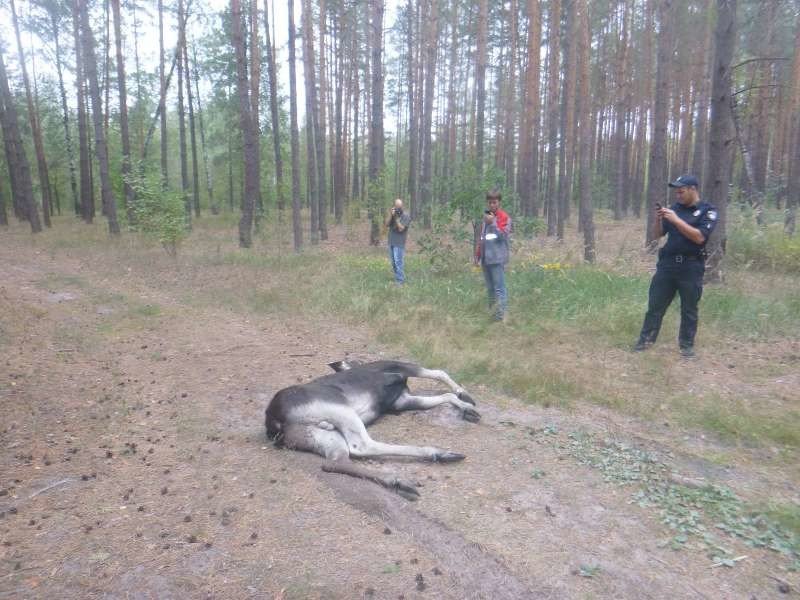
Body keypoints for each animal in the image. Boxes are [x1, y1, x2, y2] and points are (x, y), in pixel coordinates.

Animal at [266, 358, 482, 500]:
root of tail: (275, 422)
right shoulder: (399, 369)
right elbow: (440, 373)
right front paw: (466, 397)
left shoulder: (401, 401)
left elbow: (445, 395)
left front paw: (466, 406)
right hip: (339, 408)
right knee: (361, 446)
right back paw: (438, 453)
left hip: (321, 435)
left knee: (334, 463)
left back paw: (399, 480)